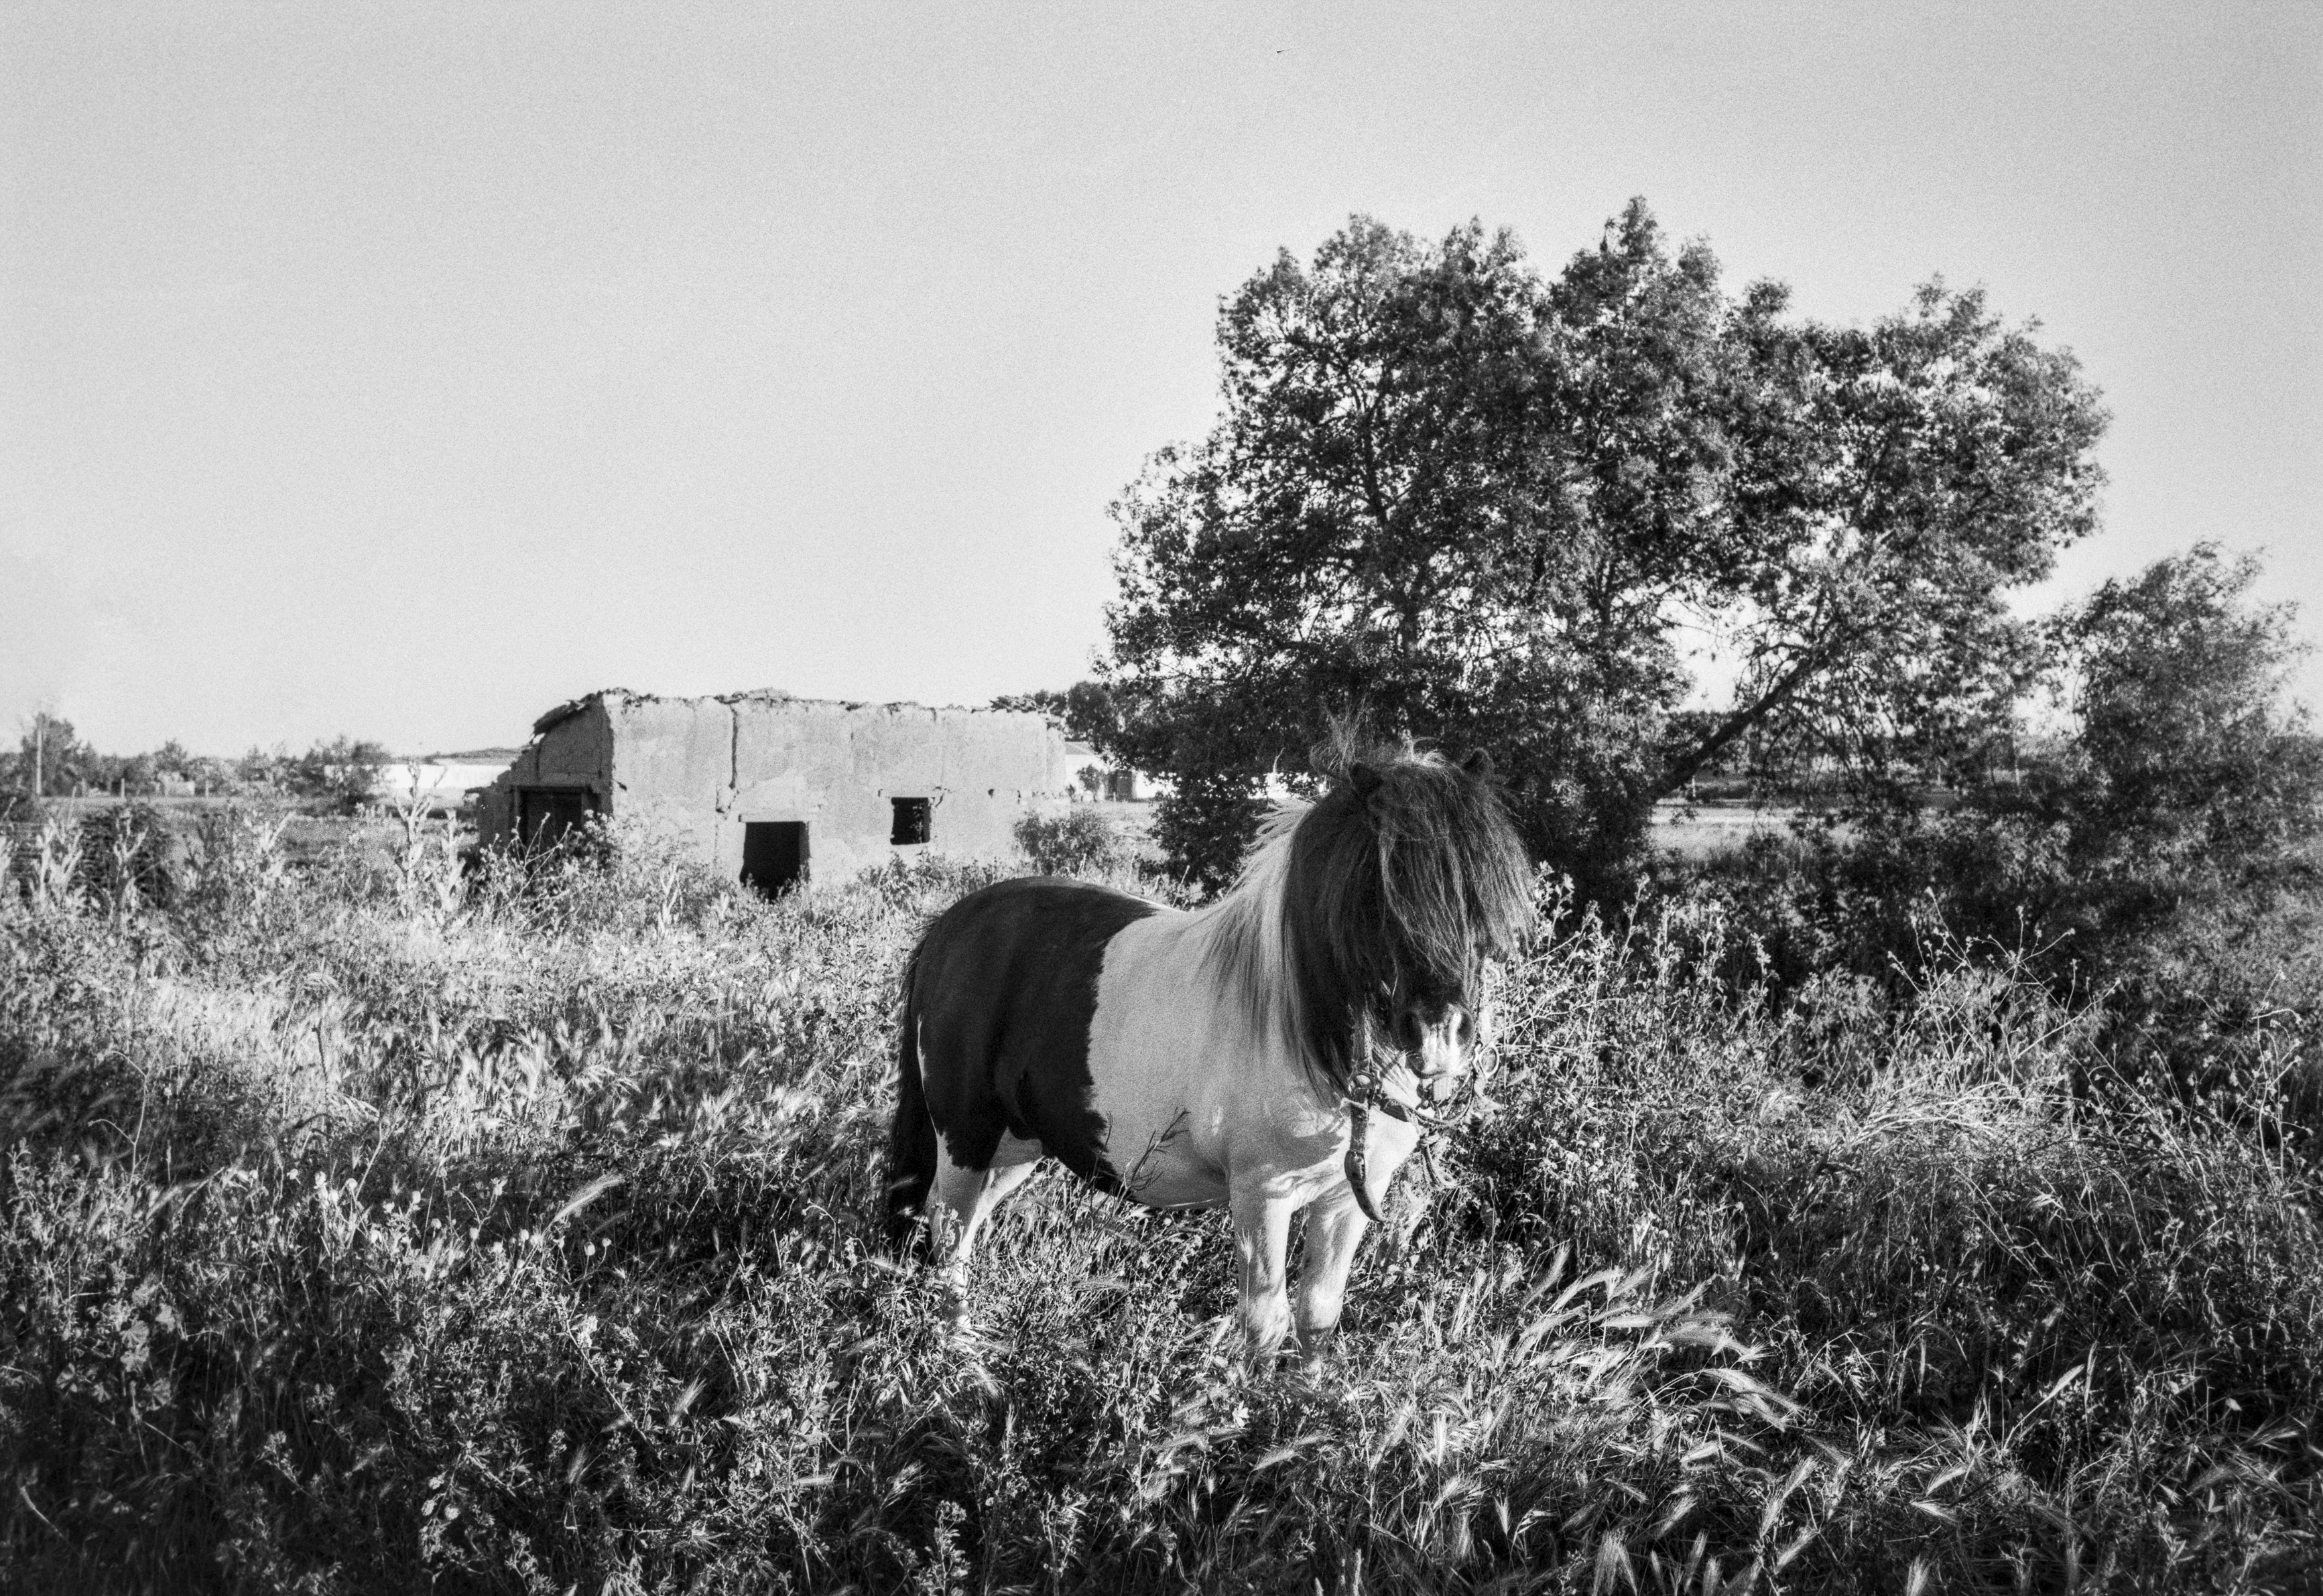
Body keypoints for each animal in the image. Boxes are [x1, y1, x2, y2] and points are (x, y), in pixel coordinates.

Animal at [886, 747, 1534, 1354]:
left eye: (1481, 893)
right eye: (1379, 894)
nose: (1441, 1035)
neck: (1308, 1039)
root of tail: (951, 926)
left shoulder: (1345, 1201)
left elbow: (1318, 1318)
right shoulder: (1262, 1198)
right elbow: (1266, 1324)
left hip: (1016, 1147)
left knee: (962, 1228)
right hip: (966, 1137)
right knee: (947, 1235)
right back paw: (960, 1356)